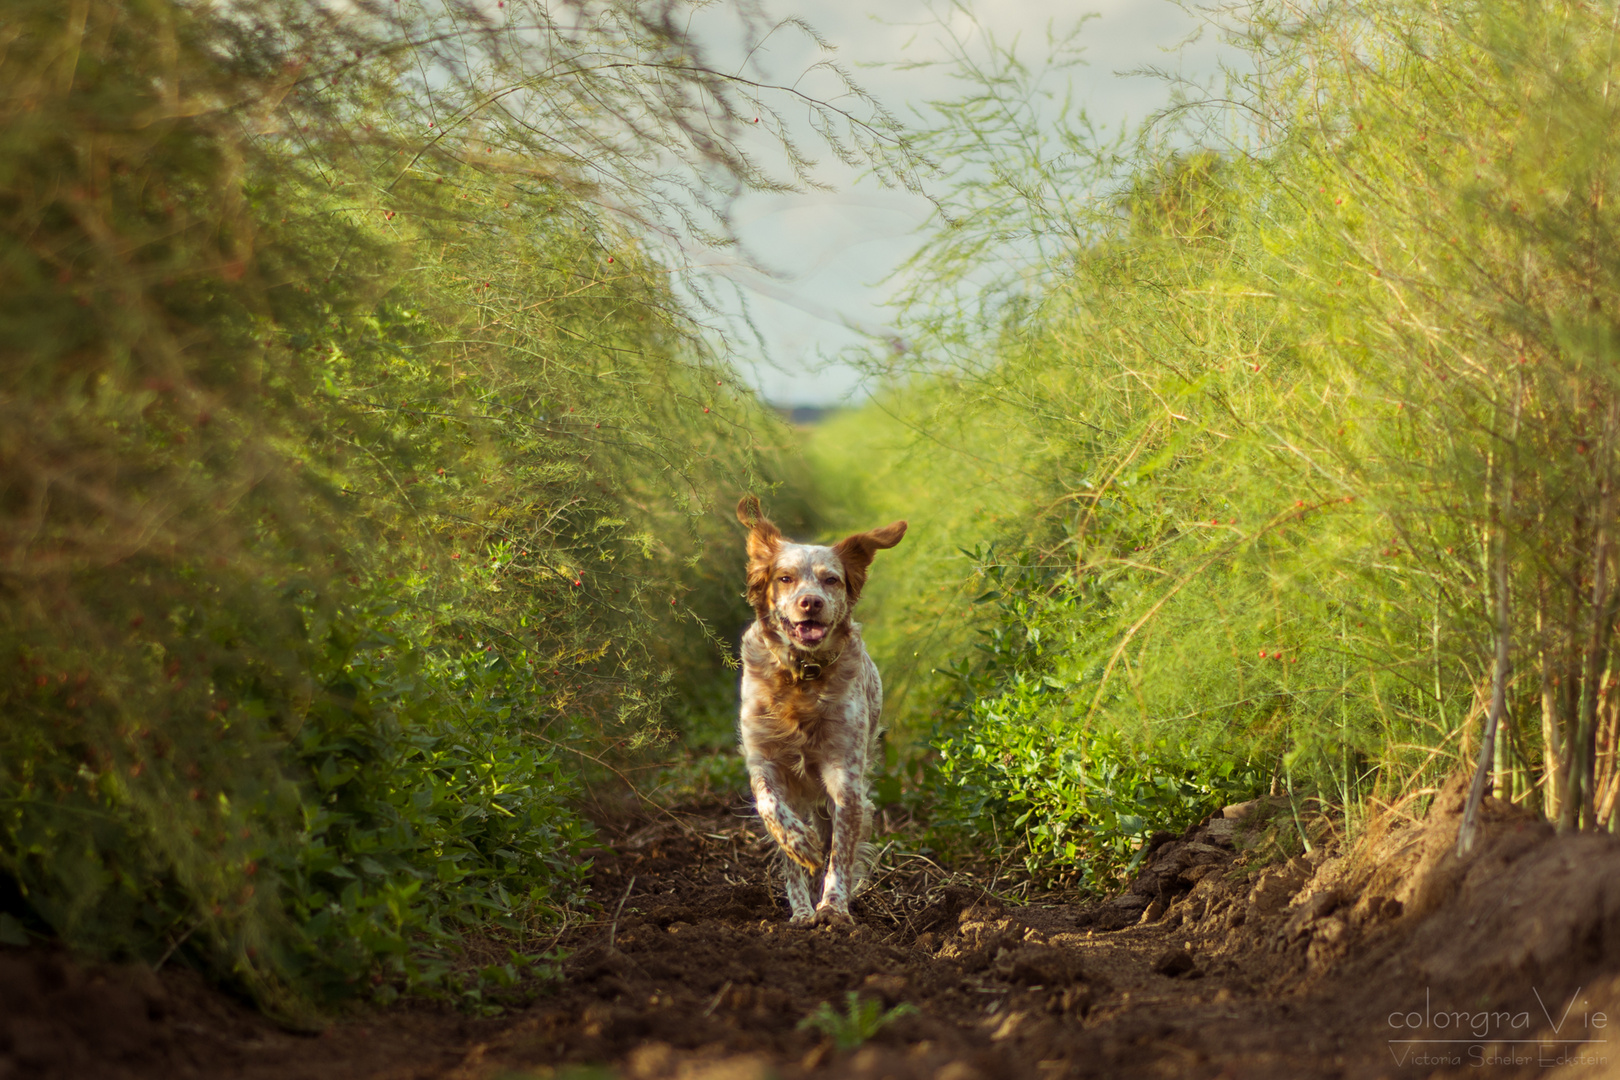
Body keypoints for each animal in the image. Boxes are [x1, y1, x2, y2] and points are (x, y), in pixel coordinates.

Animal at [738, 495, 907, 926]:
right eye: (784, 578)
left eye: (831, 580)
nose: (810, 602)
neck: (802, 676)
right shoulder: (764, 761)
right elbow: (772, 810)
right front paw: (801, 853)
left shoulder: (844, 773)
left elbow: (841, 853)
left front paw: (833, 906)